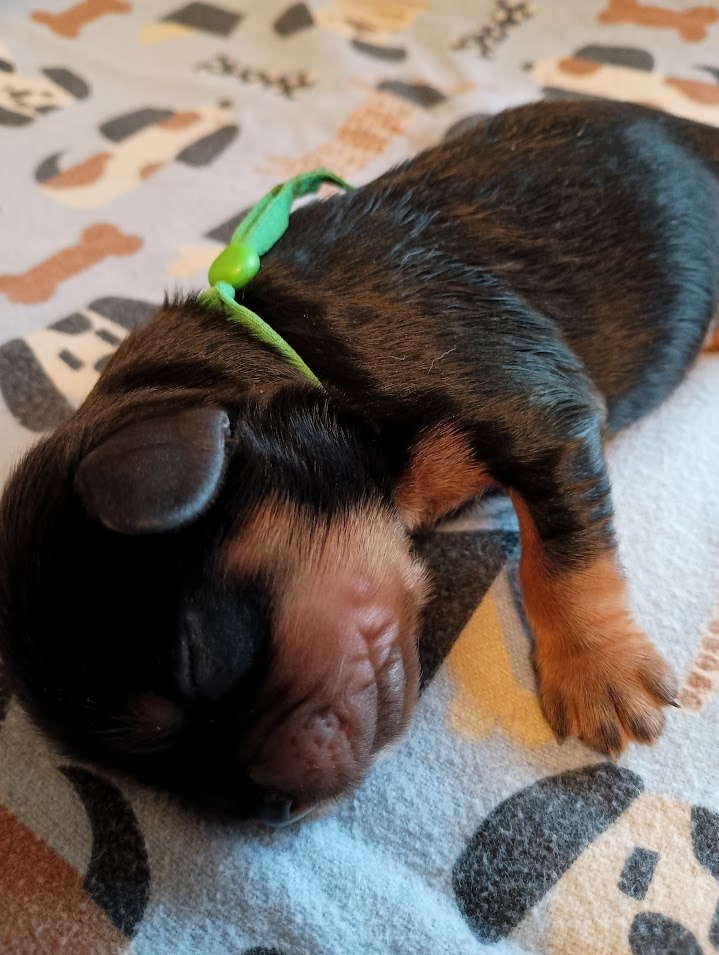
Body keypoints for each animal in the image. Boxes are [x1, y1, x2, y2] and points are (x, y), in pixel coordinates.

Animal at [0, 99, 717, 826]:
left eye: (201, 662)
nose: (266, 811)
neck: (281, 343)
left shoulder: (528, 405)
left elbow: (561, 553)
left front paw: (599, 672)